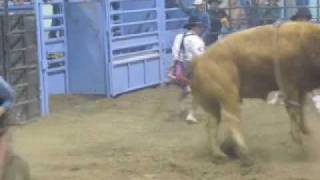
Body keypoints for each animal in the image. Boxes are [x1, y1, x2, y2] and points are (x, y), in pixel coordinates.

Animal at [190, 21, 320, 165]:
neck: (304, 41)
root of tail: (199, 60)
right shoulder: (289, 85)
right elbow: (294, 111)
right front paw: (299, 142)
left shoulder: (300, 87)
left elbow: (301, 108)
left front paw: (305, 130)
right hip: (229, 96)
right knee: (232, 120)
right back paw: (245, 155)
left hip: (212, 104)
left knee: (211, 125)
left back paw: (219, 154)